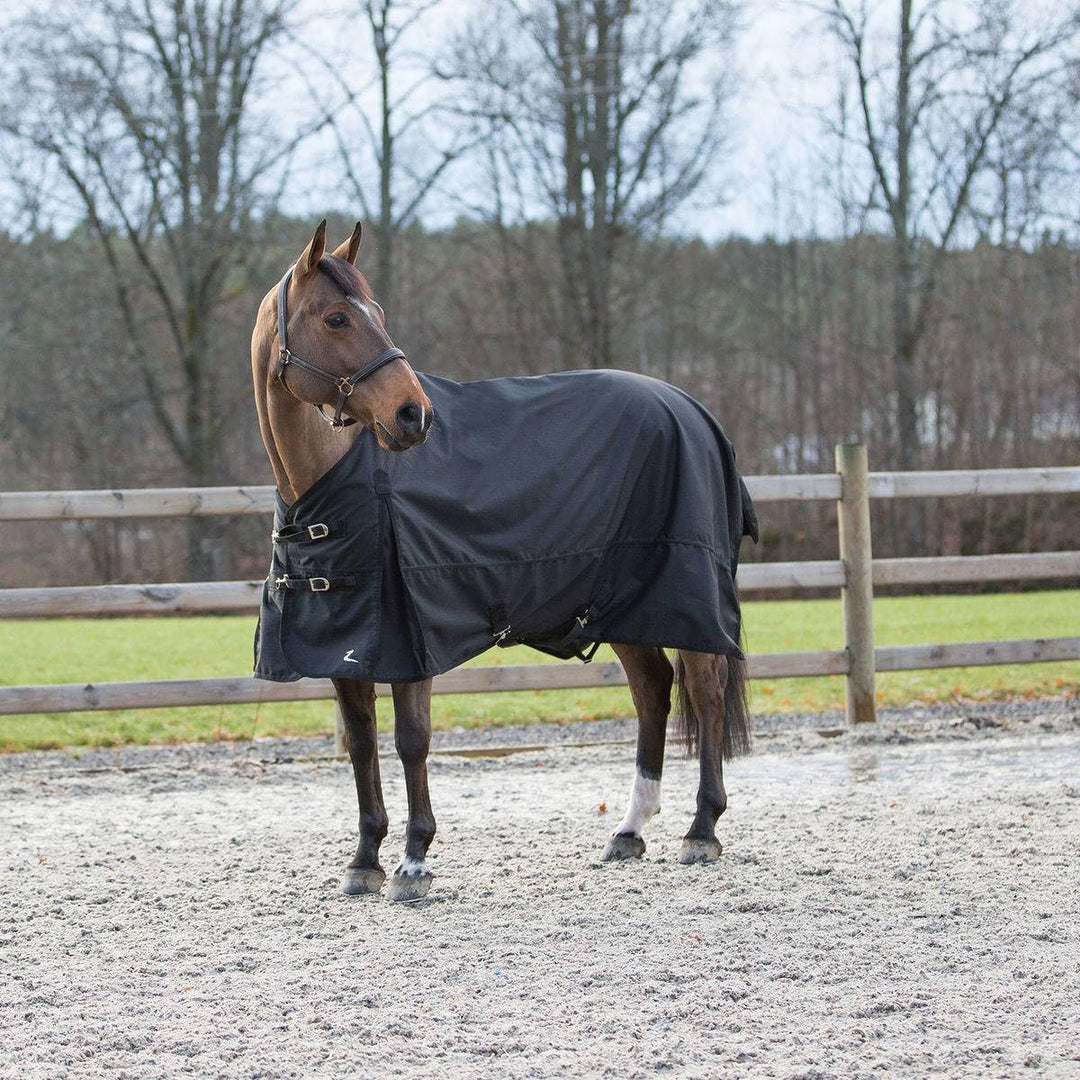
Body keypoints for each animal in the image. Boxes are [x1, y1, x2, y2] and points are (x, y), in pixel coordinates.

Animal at [251, 220, 757, 902]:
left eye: (377, 313)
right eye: (336, 318)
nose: (413, 414)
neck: (338, 481)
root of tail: (693, 410)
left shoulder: (412, 642)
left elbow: (412, 742)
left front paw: (413, 862)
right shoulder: (348, 651)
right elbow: (361, 745)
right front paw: (365, 860)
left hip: (686, 600)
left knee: (703, 692)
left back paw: (701, 830)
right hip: (626, 607)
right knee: (653, 692)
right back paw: (628, 831)